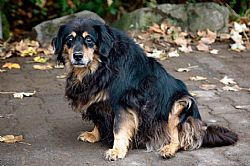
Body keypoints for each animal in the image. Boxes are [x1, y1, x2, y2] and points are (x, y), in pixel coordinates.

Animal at [52, 18, 236, 161]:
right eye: (69, 39)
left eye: (89, 39)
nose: (77, 56)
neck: (101, 66)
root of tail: (202, 128)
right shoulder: (98, 102)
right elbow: (98, 121)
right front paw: (93, 134)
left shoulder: (123, 103)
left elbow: (118, 129)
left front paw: (117, 151)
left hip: (181, 103)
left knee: (181, 139)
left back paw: (168, 149)